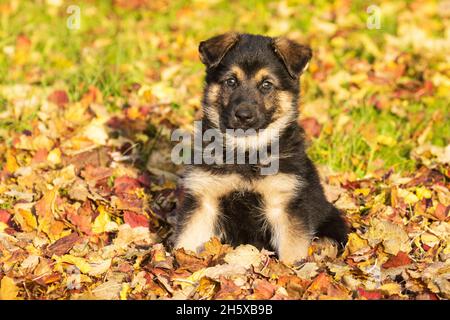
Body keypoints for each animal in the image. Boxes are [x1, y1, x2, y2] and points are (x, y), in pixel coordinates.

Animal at [172, 32, 348, 264]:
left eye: (266, 85)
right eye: (231, 81)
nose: (243, 115)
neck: (246, 152)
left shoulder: (284, 204)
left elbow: (292, 250)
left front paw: (294, 269)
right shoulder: (204, 199)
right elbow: (188, 239)